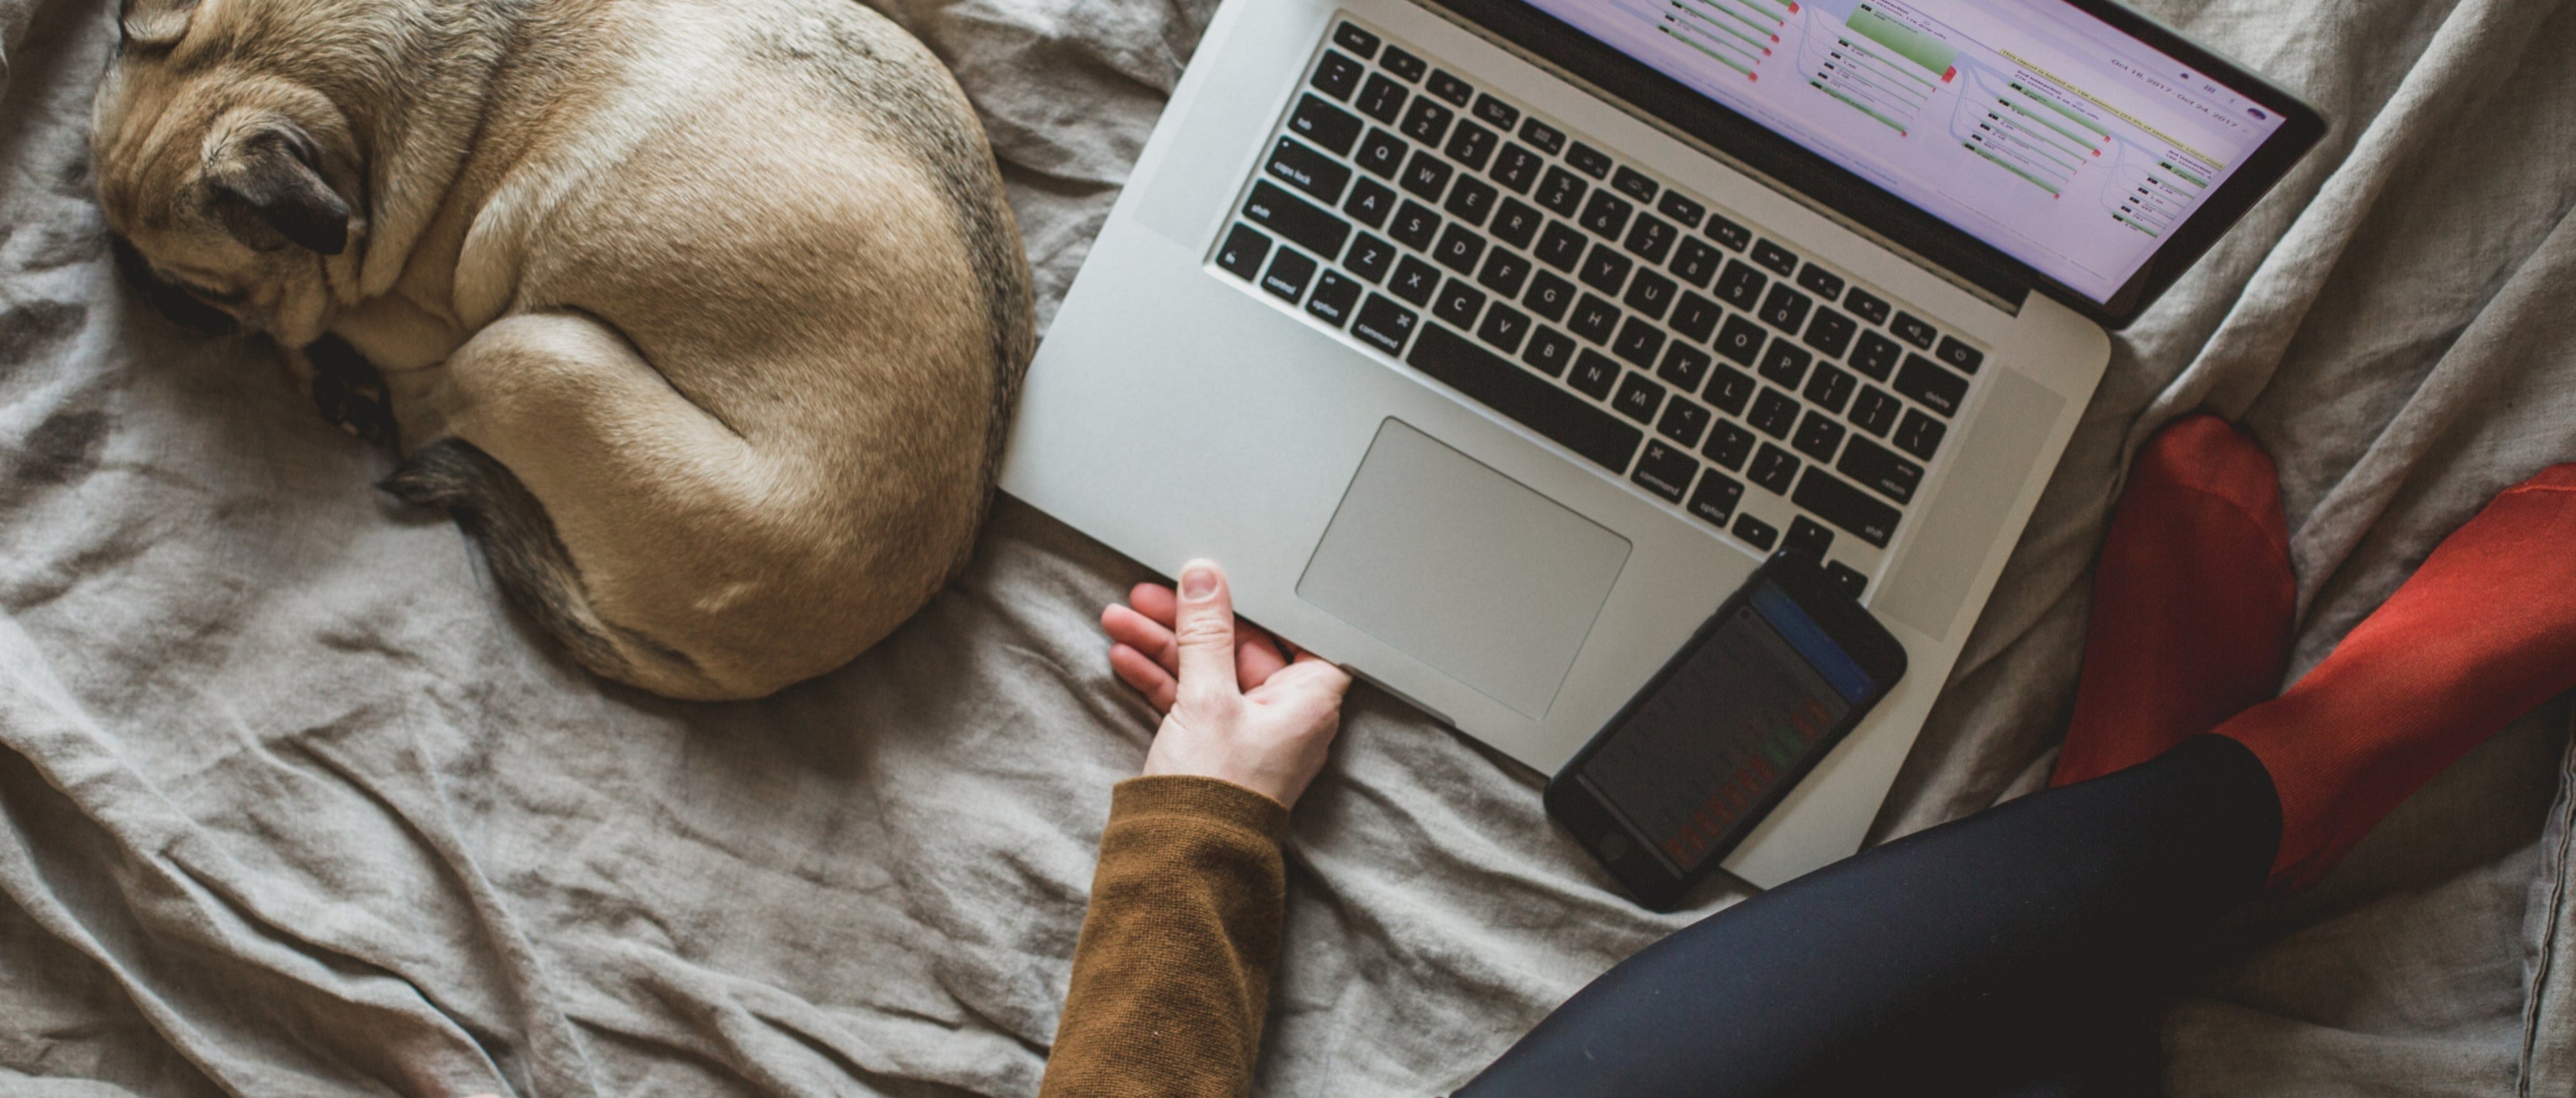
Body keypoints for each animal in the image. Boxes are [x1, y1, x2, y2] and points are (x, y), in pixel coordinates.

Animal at [92, 0, 1035, 700]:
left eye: (211, 290)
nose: (131, 273)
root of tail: (762, 669)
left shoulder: (401, 309)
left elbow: (313, 323)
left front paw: (324, 360)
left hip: (528, 348)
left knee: (433, 410)